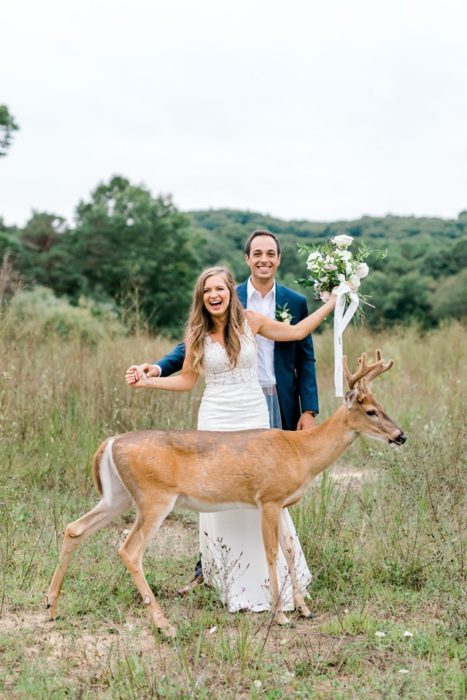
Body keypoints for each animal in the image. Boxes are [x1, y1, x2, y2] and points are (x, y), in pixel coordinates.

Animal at [46, 352, 406, 636]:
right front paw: (280, 615)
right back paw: (164, 624)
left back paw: (51, 605)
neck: (301, 453)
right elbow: (272, 553)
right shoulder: (268, 498)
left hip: (117, 496)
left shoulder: (284, 503)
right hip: (153, 498)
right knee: (129, 550)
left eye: (383, 406)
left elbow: (290, 551)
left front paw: (303, 608)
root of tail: (109, 443)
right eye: (371, 411)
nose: (400, 435)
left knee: (74, 528)